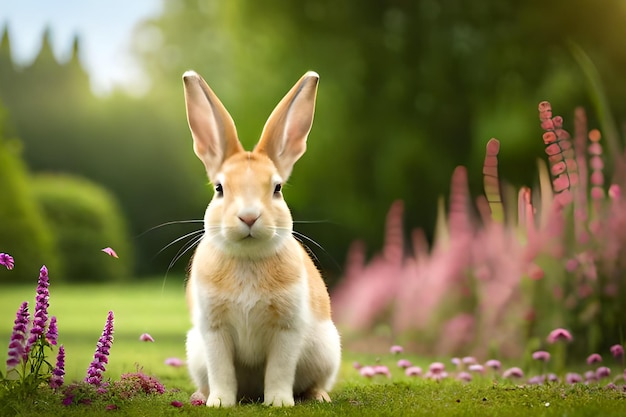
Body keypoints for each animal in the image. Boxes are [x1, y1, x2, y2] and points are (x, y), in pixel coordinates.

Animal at [180, 70, 342, 406]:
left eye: (277, 188)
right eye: (219, 188)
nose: (249, 217)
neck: (248, 258)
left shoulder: (287, 330)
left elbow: (279, 370)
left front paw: (278, 402)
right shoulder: (213, 331)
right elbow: (221, 372)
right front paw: (220, 403)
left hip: (326, 351)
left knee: (313, 382)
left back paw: (318, 396)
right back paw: (200, 396)